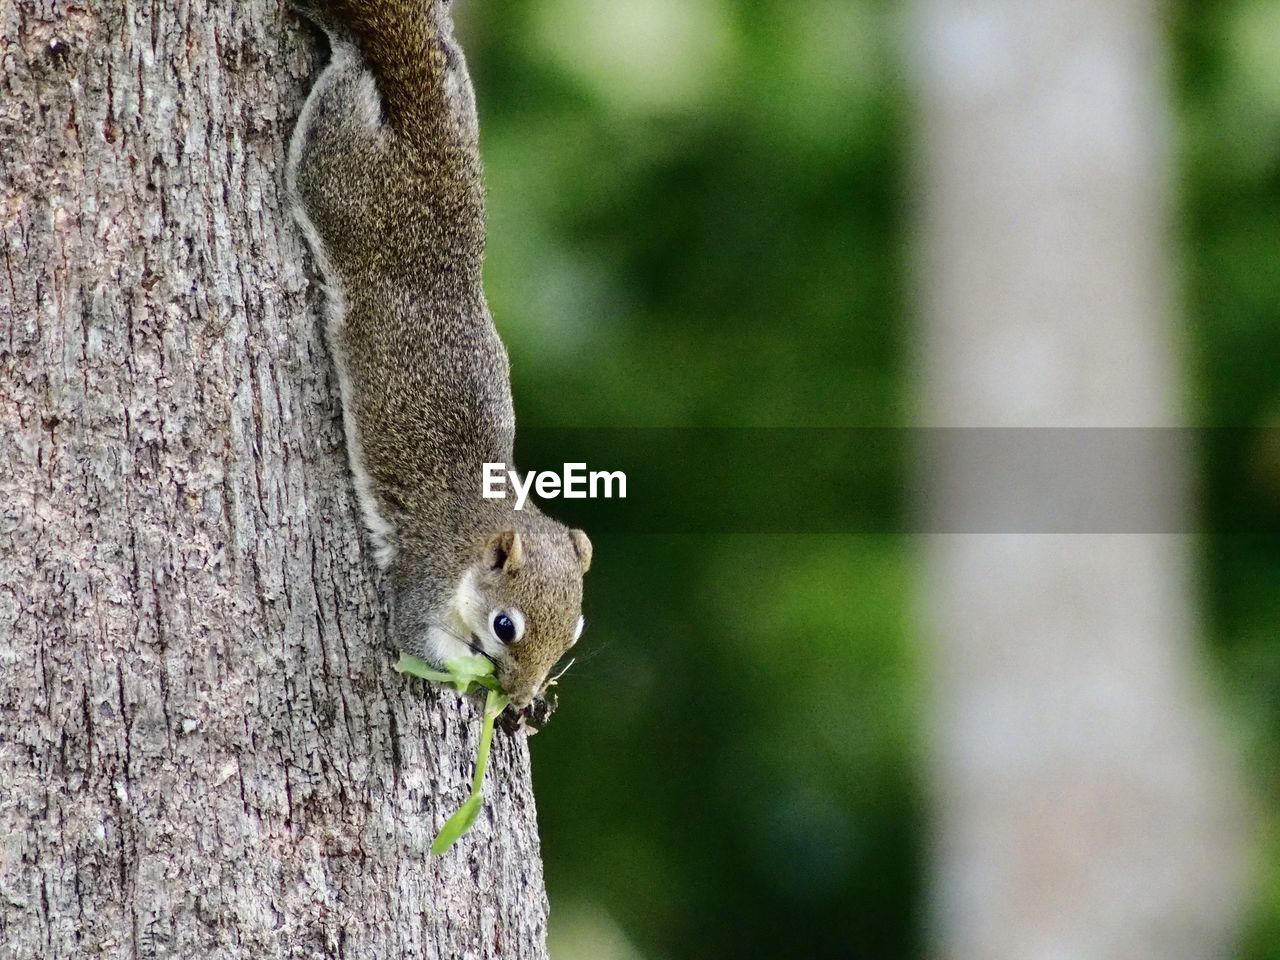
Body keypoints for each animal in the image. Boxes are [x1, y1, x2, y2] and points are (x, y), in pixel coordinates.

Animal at [285, 0, 588, 711]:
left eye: (575, 632)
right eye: (505, 626)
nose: (523, 694)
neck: (482, 527)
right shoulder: (425, 577)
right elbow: (419, 643)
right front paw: (489, 697)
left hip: (456, 107)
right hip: (339, 170)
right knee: (341, 95)